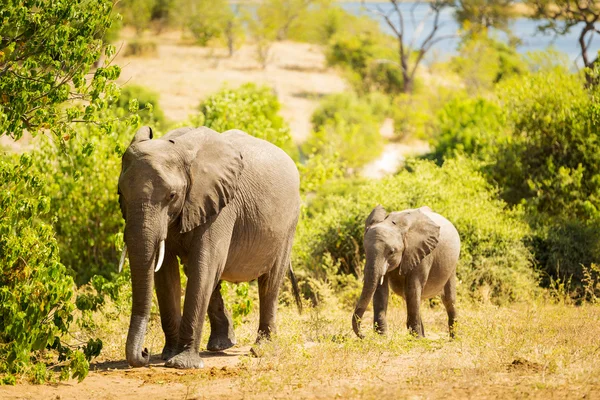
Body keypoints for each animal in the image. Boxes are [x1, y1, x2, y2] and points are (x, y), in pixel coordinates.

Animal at [118, 126, 302, 368]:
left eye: (172, 195)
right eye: (121, 194)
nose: (145, 352)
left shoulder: (221, 205)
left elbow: (204, 265)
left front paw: (180, 364)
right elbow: (166, 274)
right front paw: (168, 355)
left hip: (289, 223)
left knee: (270, 281)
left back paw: (262, 349)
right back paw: (221, 345)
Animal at [354, 205, 462, 340]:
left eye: (391, 252)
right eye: (365, 250)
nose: (363, 336)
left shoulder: (421, 253)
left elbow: (413, 287)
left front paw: (416, 339)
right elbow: (381, 289)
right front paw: (382, 337)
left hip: (452, 264)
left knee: (448, 299)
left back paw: (453, 339)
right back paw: (424, 336)